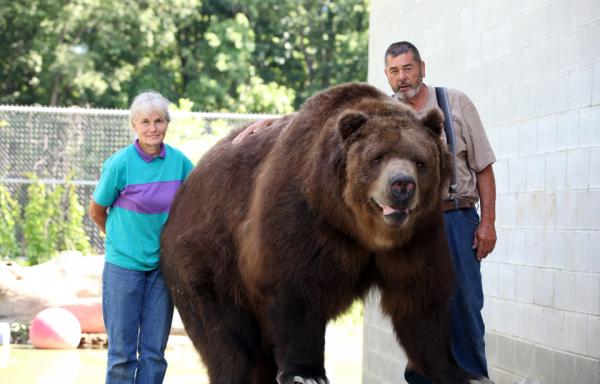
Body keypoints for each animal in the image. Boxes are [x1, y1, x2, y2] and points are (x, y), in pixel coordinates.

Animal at [162, 82, 472, 382]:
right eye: (377, 157)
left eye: (420, 161)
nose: (402, 184)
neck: (358, 227)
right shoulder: (304, 219)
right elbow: (297, 289)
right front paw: (305, 373)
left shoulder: (416, 237)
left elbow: (421, 298)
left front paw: (456, 370)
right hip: (210, 262)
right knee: (227, 337)